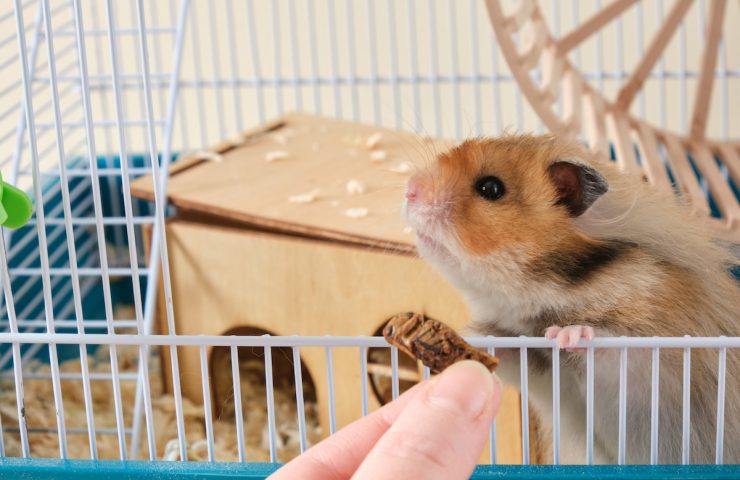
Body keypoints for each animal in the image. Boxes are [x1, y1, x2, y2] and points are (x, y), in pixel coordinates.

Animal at [403, 135, 740, 464]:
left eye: (491, 188)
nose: (409, 190)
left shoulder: (653, 361)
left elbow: (607, 346)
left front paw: (566, 335)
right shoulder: (538, 366)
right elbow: (503, 348)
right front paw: (451, 335)